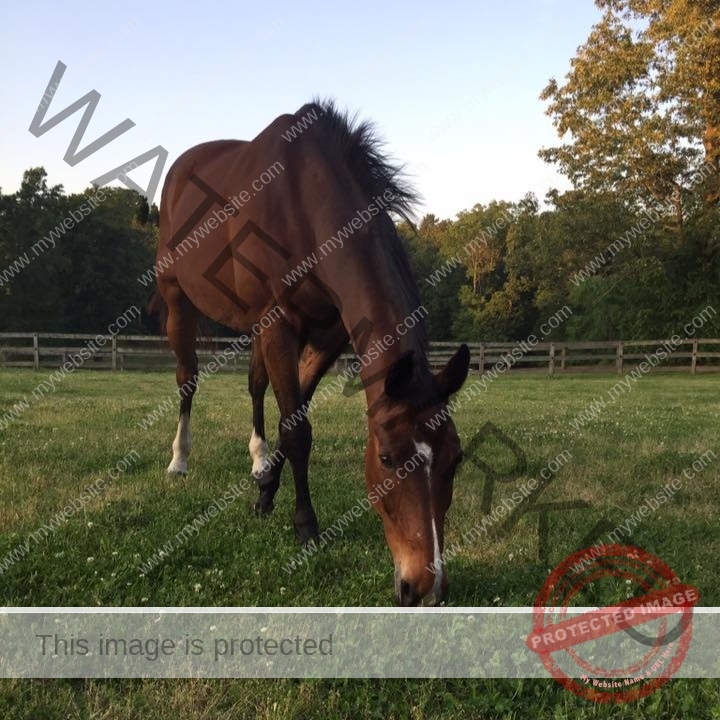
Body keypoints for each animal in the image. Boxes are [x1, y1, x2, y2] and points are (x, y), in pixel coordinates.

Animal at [153, 100, 470, 606]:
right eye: (387, 458)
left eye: (456, 458)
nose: (425, 587)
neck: (303, 202)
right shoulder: (279, 324)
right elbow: (298, 429)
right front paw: (305, 525)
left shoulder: (326, 336)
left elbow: (292, 414)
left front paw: (266, 492)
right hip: (177, 299)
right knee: (187, 380)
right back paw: (179, 460)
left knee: (256, 386)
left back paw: (257, 460)